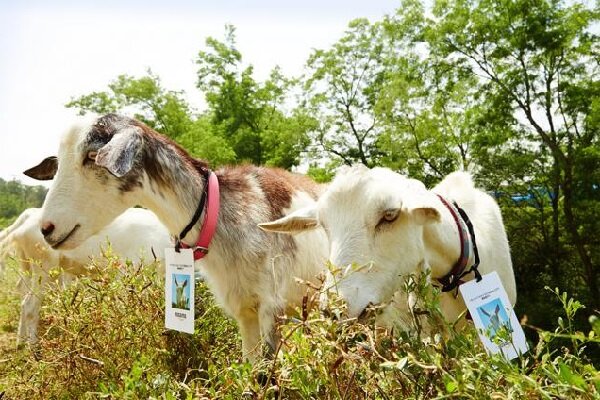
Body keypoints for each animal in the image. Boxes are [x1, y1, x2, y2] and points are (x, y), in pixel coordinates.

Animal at [1, 208, 171, 346]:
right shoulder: (126, 272)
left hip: (27, 266)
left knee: (23, 299)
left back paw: (20, 344)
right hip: (44, 269)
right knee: (30, 306)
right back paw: (34, 351)